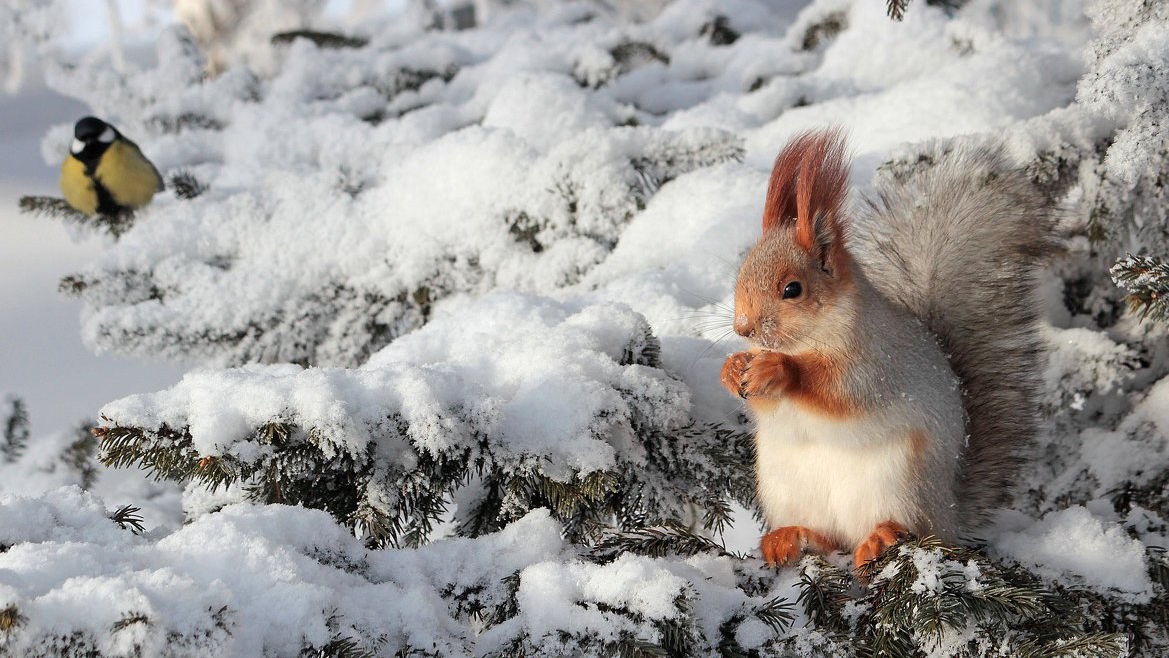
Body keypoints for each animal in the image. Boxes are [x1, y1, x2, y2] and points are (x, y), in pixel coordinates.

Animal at [724, 130, 1056, 572]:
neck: (810, 339)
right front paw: (733, 368)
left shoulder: (878, 362)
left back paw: (880, 537)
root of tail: (949, 515)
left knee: (900, 529)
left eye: (792, 289)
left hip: (901, 483)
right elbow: (765, 407)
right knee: (827, 539)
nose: (743, 327)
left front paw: (779, 370)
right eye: (741, 274)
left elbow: (843, 392)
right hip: (786, 485)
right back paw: (789, 537)